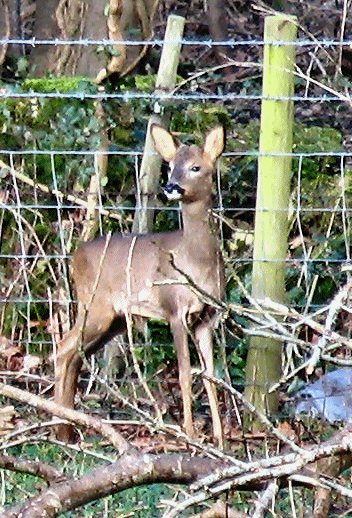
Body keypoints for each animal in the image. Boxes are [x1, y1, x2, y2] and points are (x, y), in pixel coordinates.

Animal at [55, 124, 226, 448]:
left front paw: (221, 440)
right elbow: (185, 373)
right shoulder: (174, 309)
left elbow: (211, 376)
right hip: (95, 305)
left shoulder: (207, 317)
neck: (196, 261)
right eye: (170, 166)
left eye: (195, 167)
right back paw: (58, 425)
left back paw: (66, 429)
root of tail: (75, 256)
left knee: (74, 355)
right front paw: (190, 434)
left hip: (114, 320)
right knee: (62, 349)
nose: (171, 187)